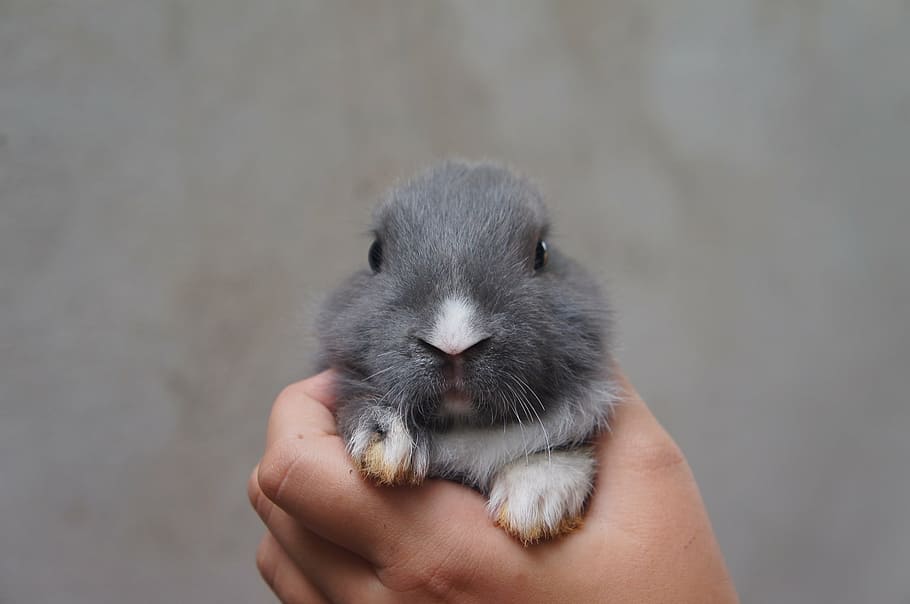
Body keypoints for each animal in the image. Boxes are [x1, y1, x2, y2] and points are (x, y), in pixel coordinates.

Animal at [317, 160, 616, 545]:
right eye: (374, 254)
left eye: (542, 253)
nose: (454, 343)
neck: (465, 429)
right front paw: (388, 439)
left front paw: (537, 500)